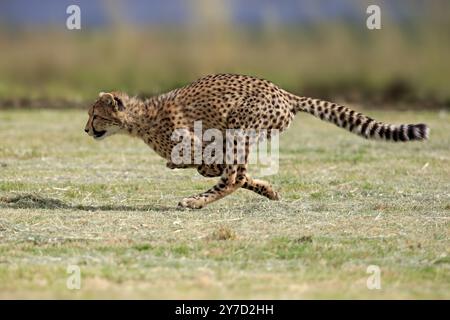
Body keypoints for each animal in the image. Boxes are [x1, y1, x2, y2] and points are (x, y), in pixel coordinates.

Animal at [83, 73, 428, 209]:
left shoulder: (204, 144)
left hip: (239, 126)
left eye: (94, 114)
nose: (86, 130)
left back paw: (195, 201)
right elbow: (236, 172)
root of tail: (285, 92)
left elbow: (215, 167)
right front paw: (269, 189)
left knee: (233, 178)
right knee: (238, 173)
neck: (140, 120)